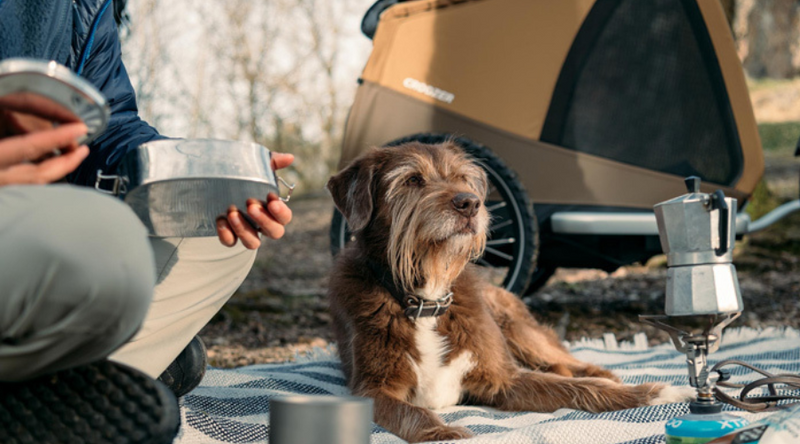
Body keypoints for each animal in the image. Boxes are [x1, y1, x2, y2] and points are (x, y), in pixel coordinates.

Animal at [324, 141, 692, 440]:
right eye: (412, 180)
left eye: (462, 178)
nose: (470, 203)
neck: (427, 300)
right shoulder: (372, 389)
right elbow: (410, 411)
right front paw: (442, 433)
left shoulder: (502, 379)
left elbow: (578, 388)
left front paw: (655, 394)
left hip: (519, 330)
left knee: (567, 361)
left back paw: (604, 373)